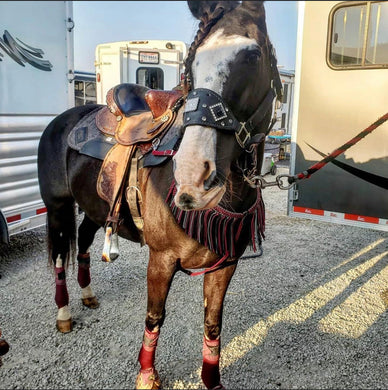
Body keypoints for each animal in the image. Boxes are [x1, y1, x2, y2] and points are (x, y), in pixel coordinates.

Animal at [37, 2, 282, 386]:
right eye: (192, 64)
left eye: (253, 55)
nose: (194, 178)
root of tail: (63, 119)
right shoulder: (161, 260)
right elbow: (154, 317)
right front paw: (146, 376)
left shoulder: (225, 265)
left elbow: (213, 323)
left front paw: (211, 378)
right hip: (58, 208)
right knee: (61, 254)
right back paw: (64, 313)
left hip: (94, 209)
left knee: (84, 242)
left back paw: (88, 295)